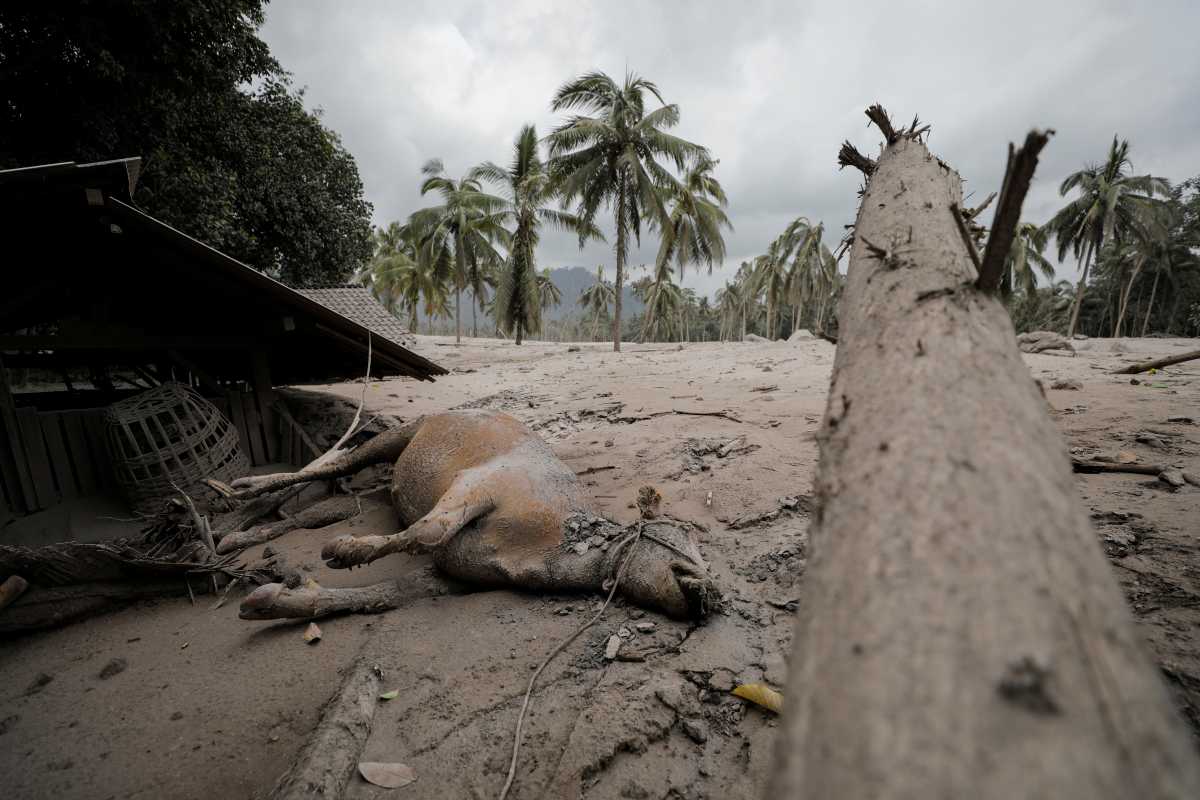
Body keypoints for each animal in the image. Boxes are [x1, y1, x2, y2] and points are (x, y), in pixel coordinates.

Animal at [229, 410, 715, 623]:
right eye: (684, 533)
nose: (713, 592)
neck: (555, 540)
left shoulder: (456, 575)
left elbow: (388, 593)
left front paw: (276, 601)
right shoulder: (484, 481)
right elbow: (429, 529)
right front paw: (345, 550)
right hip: (403, 433)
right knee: (339, 462)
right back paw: (243, 489)